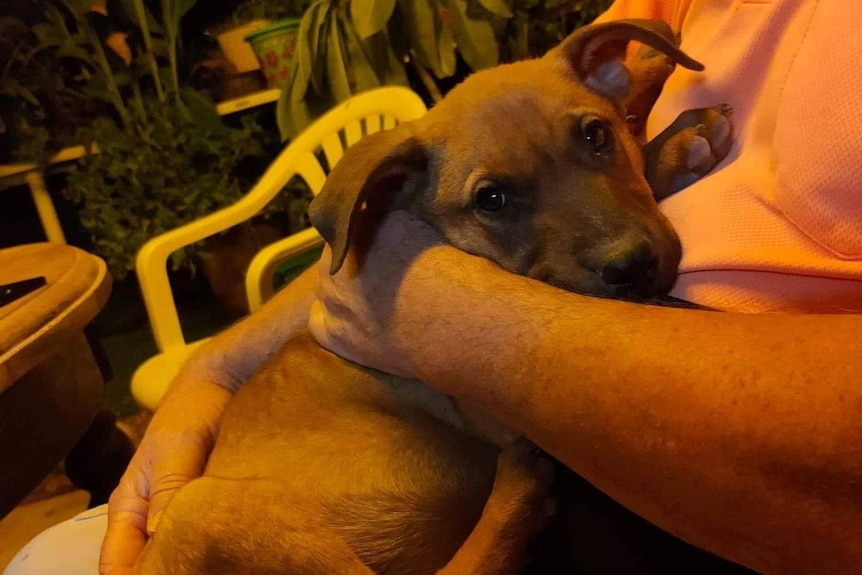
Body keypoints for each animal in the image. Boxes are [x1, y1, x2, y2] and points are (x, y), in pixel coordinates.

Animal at [138, 18, 732, 575]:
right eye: (490, 199)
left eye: (596, 135)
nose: (631, 266)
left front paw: (670, 126)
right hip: (201, 508)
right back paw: (518, 489)